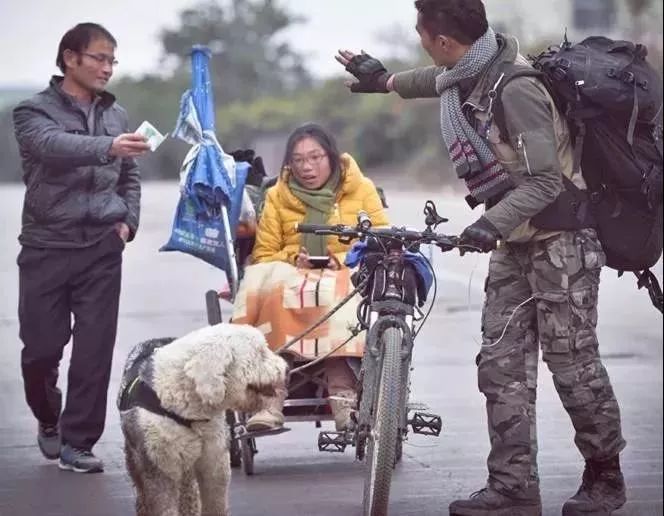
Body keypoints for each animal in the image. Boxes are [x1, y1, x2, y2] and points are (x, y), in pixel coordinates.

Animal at [118, 324, 286, 512]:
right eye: (260, 352)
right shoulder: (158, 466)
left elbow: (215, 503)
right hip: (137, 458)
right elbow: (164, 505)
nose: (286, 368)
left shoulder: (215, 462)